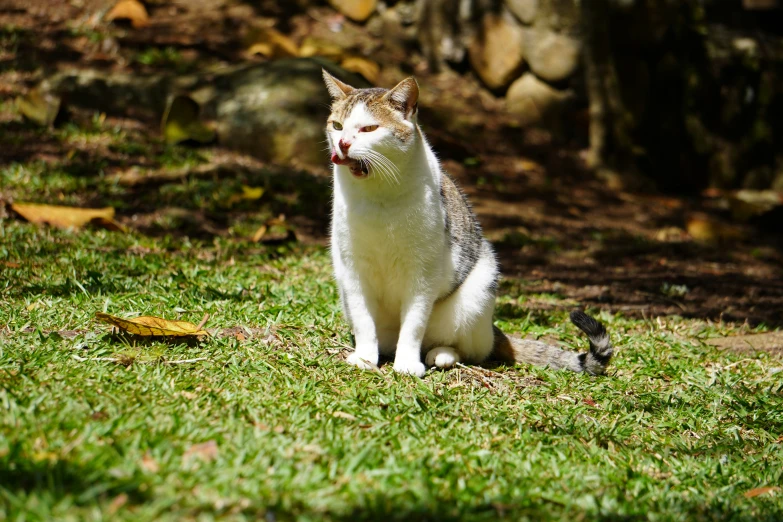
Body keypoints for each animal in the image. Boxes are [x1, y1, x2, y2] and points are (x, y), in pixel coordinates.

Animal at [322, 70, 616, 378]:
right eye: (337, 126)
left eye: (369, 129)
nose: (343, 143)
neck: (378, 197)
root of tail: (491, 331)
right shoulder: (352, 269)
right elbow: (364, 319)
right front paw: (366, 357)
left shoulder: (422, 273)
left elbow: (414, 323)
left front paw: (406, 364)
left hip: (478, 290)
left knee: (466, 348)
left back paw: (441, 354)